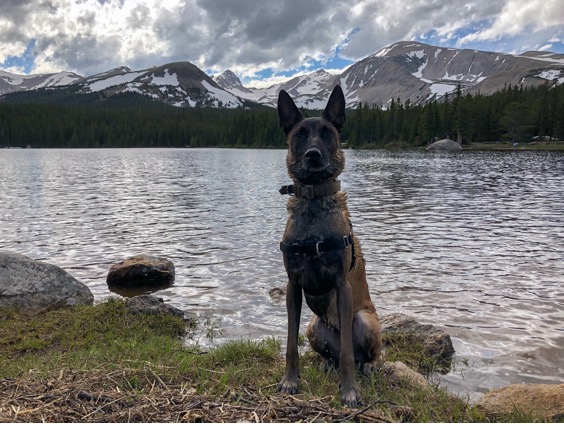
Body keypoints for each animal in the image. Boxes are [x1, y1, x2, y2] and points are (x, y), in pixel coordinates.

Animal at [276, 85, 382, 408]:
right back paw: (325, 362)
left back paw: (368, 366)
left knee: (360, 355)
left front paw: (349, 390)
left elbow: (347, 352)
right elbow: (290, 343)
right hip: (314, 326)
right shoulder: (293, 285)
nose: (313, 155)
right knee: (331, 354)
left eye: (328, 133)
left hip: (366, 321)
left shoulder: (341, 284)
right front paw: (290, 380)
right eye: (299, 134)